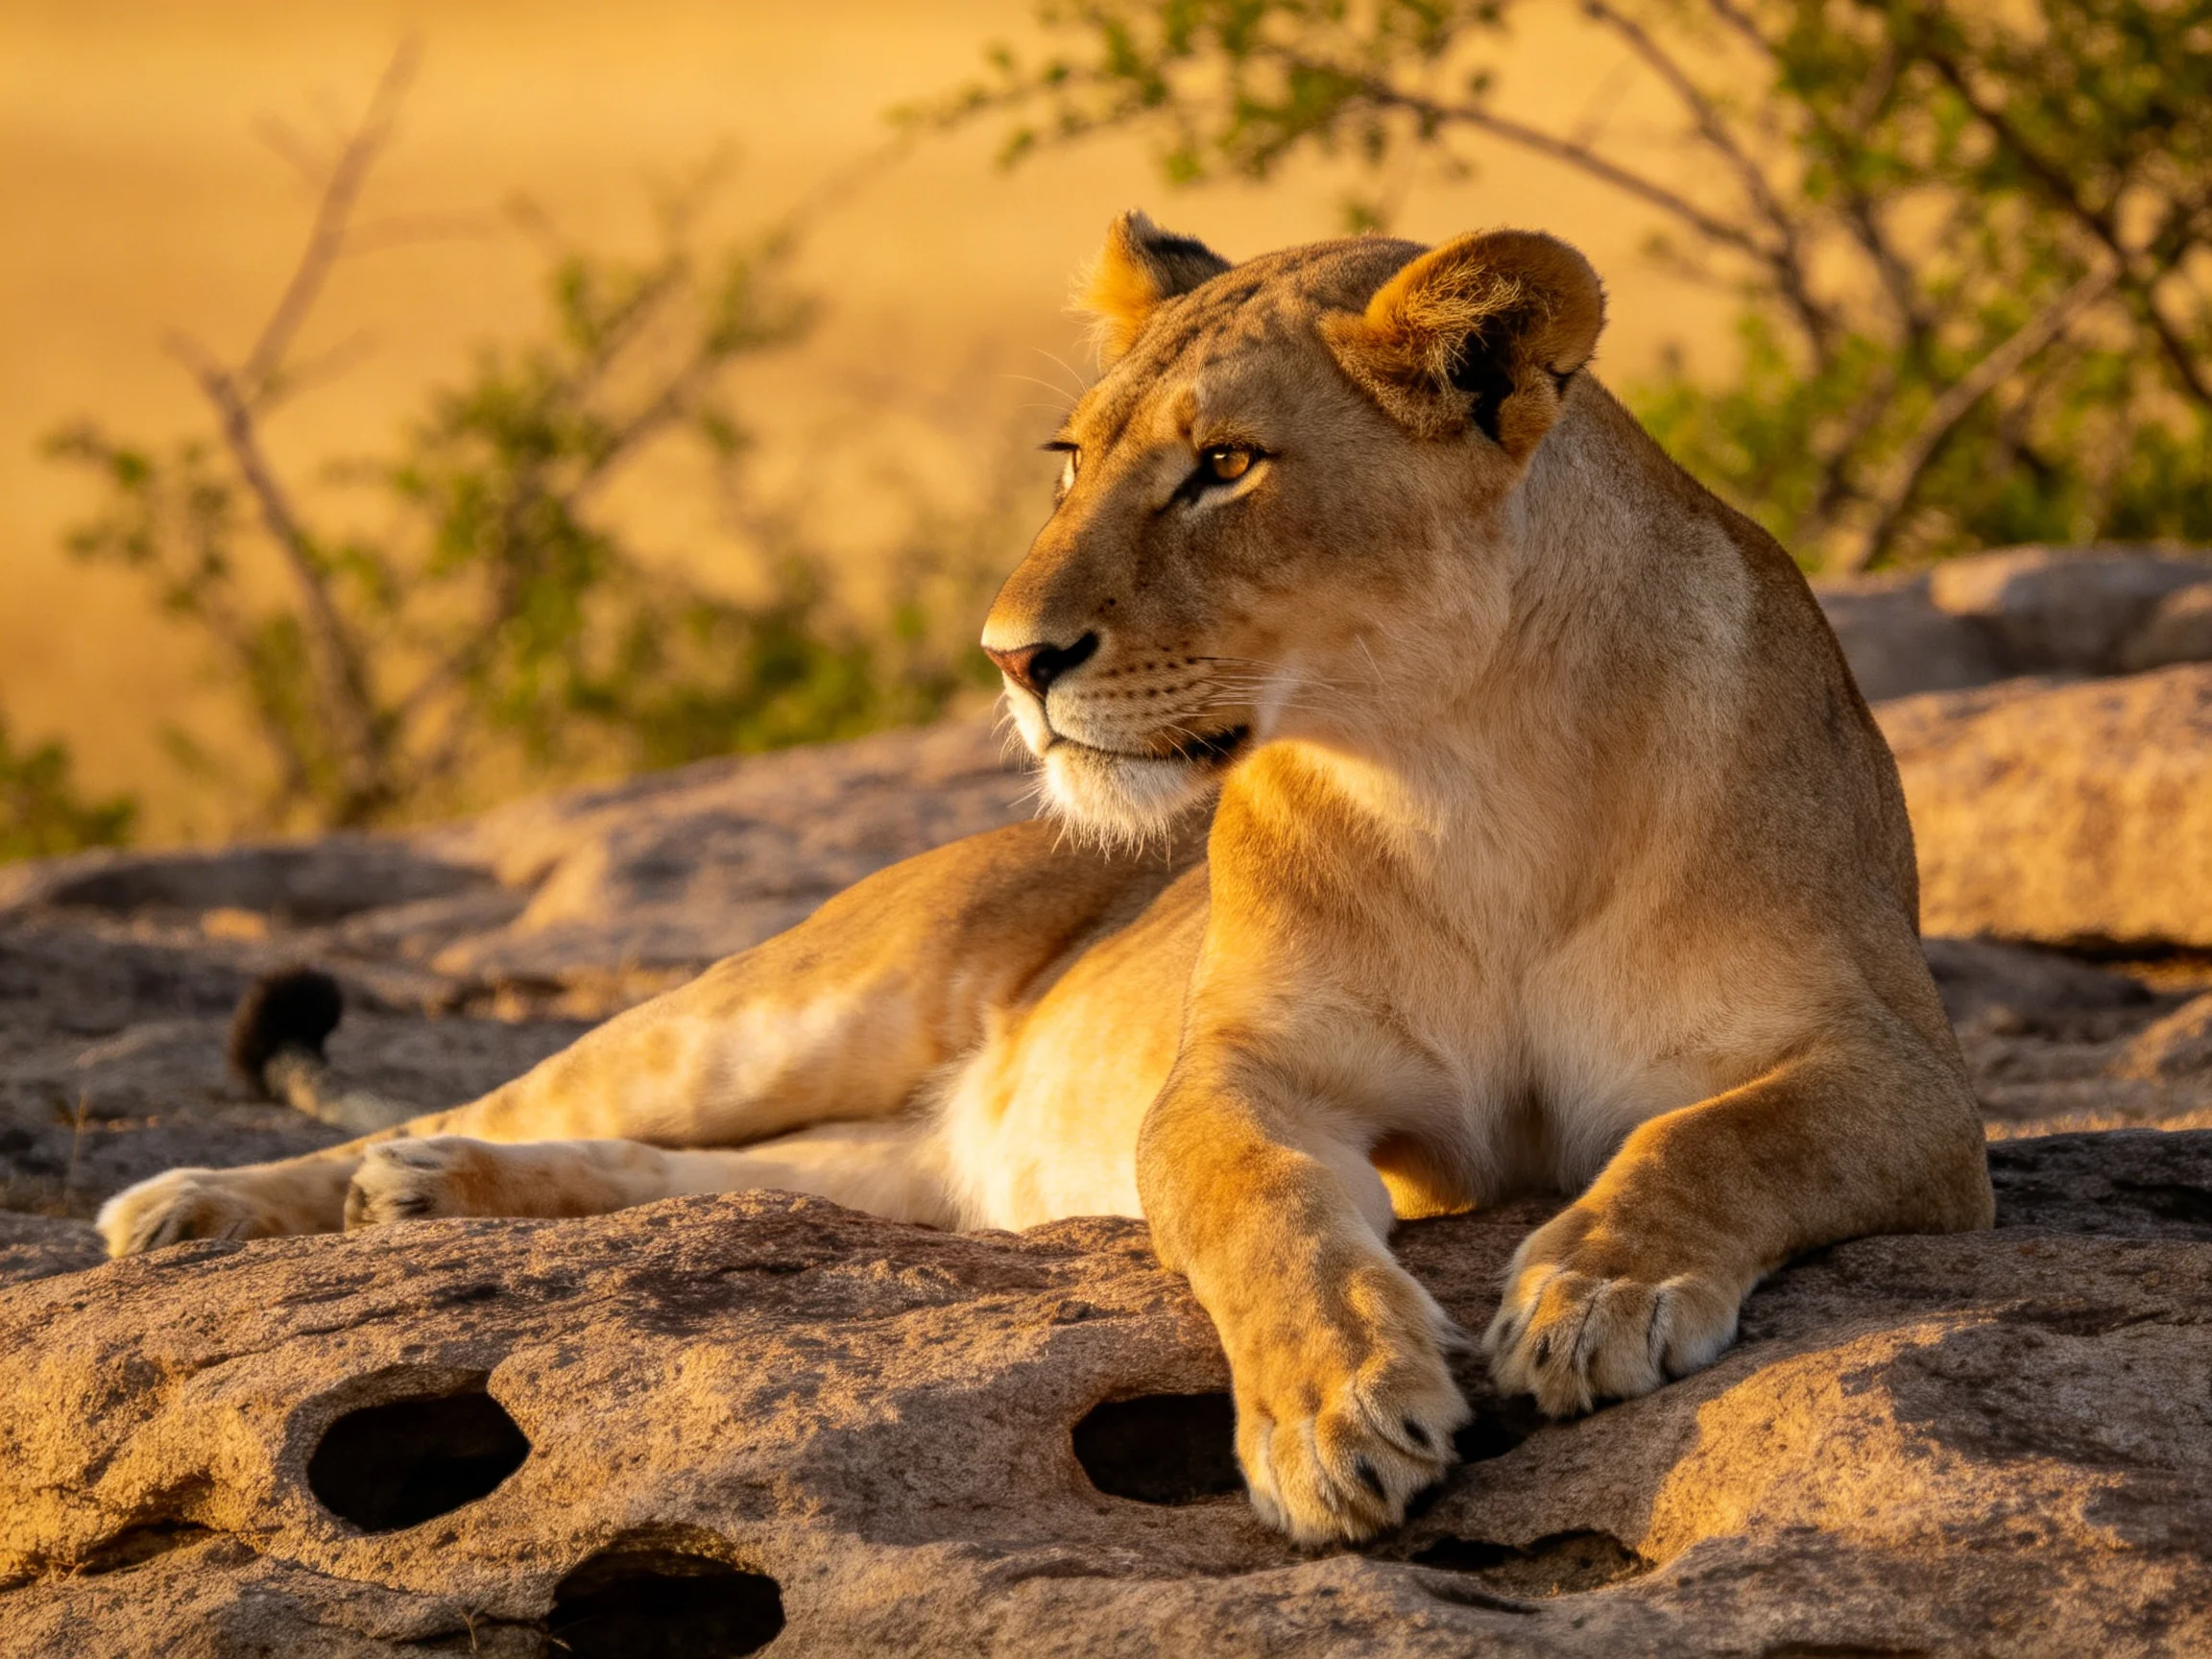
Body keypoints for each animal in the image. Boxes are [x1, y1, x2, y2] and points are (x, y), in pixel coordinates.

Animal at [98, 213, 1994, 1546]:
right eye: (1072, 458)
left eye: (1226, 465)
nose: (1010, 658)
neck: (1462, 766)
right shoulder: (1242, 1076)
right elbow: (1258, 1210)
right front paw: (1330, 1416)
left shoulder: (1901, 1074)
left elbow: (1717, 1133)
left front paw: (1599, 1291)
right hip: (810, 994)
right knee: (546, 1093)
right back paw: (234, 1198)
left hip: (905, 1174)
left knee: (709, 1181)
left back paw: (419, 1194)